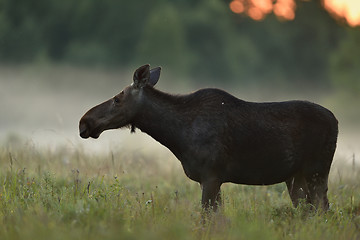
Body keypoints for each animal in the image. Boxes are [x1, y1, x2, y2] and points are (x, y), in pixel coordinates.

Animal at [79, 64, 338, 212]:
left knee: (323, 210)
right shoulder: (212, 179)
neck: (176, 136)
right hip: (295, 176)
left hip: (316, 170)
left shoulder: (211, 175)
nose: (85, 122)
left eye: (117, 99)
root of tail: (336, 121)